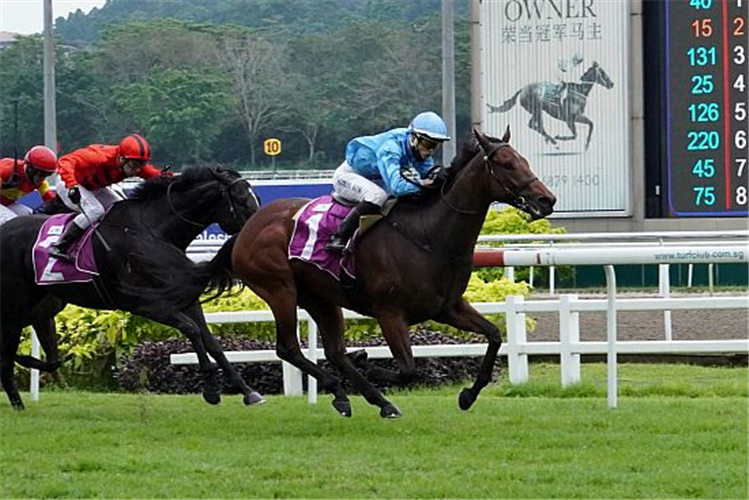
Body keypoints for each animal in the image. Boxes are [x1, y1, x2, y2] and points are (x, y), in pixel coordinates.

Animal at [0, 166, 262, 408]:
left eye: (256, 198)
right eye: (242, 200)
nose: (257, 233)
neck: (154, 233)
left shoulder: (185, 300)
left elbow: (212, 343)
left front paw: (248, 391)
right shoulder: (147, 304)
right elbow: (194, 331)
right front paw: (211, 390)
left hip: (38, 306)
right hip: (14, 308)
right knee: (7, 357)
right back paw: (17, 400)